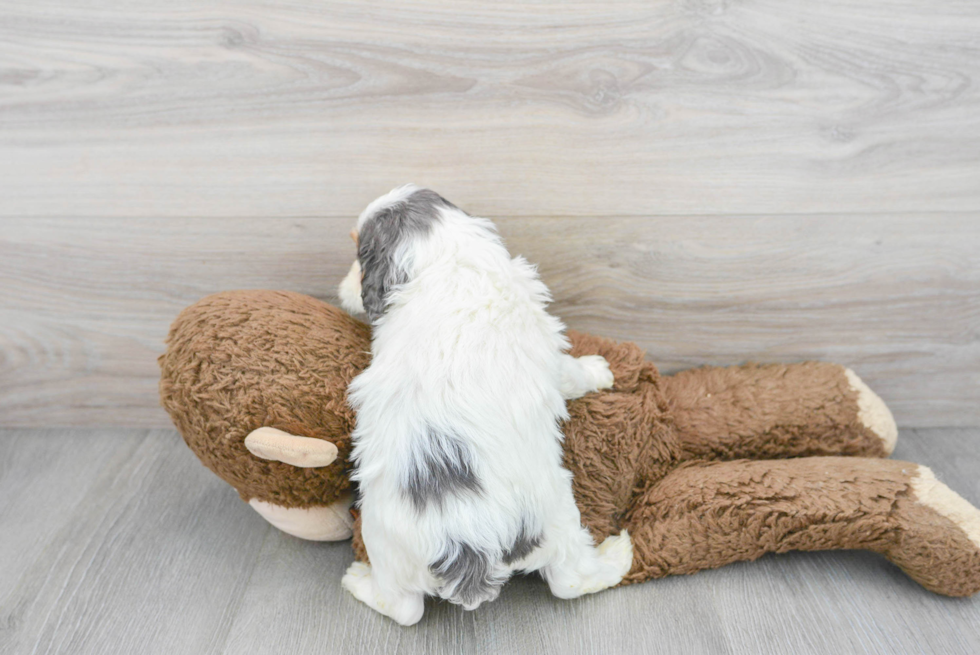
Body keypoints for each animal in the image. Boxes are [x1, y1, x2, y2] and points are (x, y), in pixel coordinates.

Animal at [338, 184, 636, 624]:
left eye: (359, 256)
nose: (343, 288)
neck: (449, 260)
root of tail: (467, 545)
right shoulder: (547, 346)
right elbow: (572, 373)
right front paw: (599, 370)